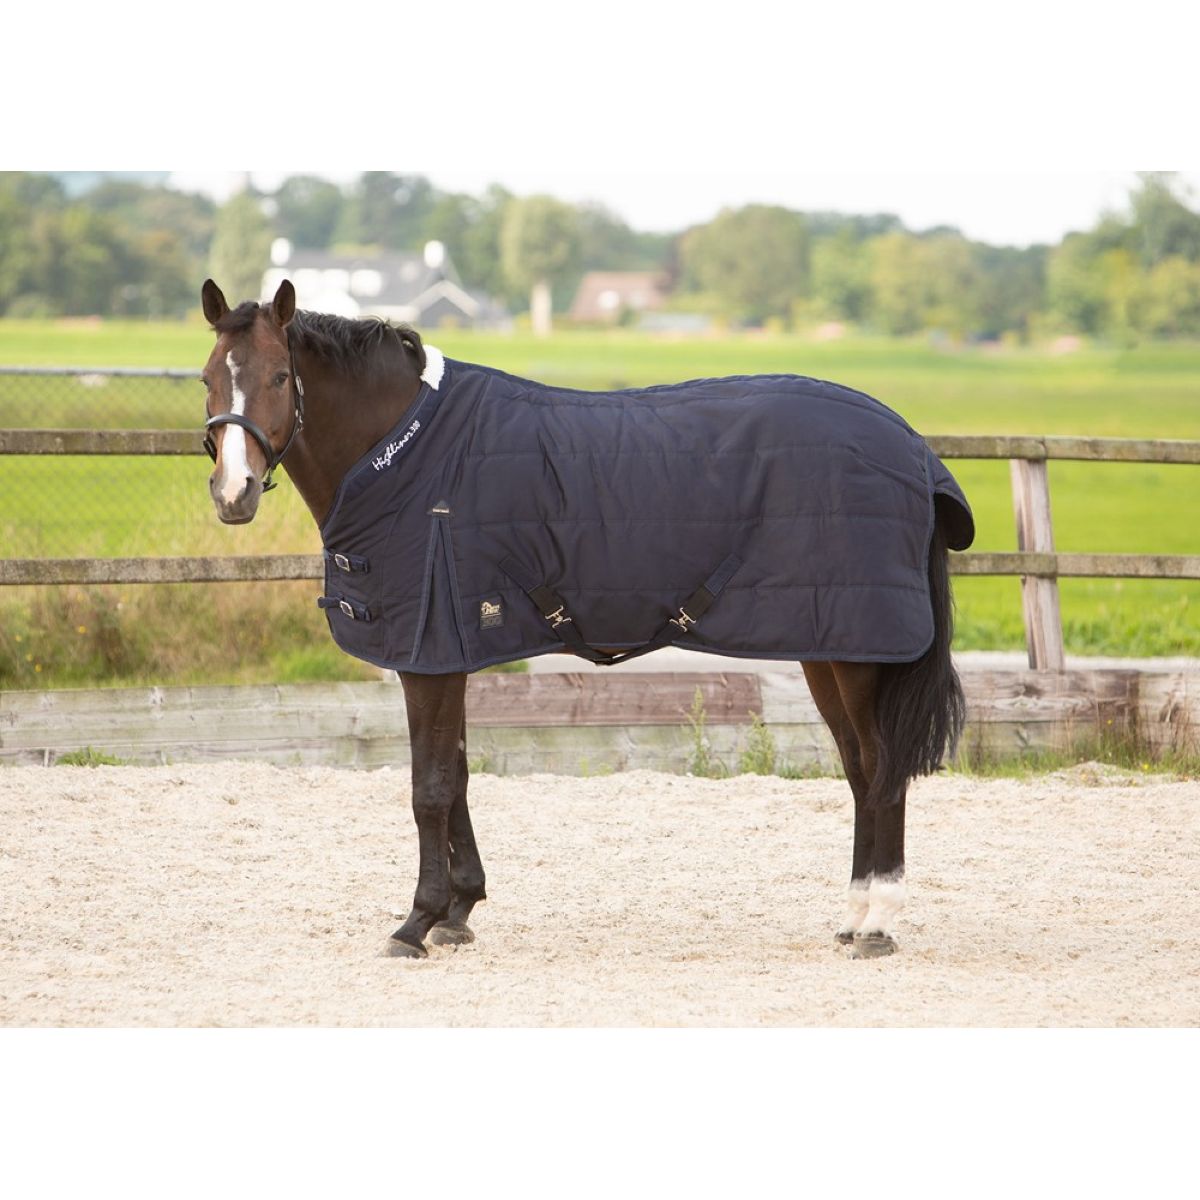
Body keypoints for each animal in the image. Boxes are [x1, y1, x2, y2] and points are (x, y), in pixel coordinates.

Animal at [199, 277, 974, 960]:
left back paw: (877, 924)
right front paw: (460, 910)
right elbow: (460, 775)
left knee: (881, 771)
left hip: (860, 653)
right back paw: (854, 918)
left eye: (278, 378)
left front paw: (417, 921)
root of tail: (912, 448)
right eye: (208, 378)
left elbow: (430, 788)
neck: (411, 452)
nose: (234, 494)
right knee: (861, 770)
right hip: (828, 647)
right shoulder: (449, 651)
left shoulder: (430, 655)